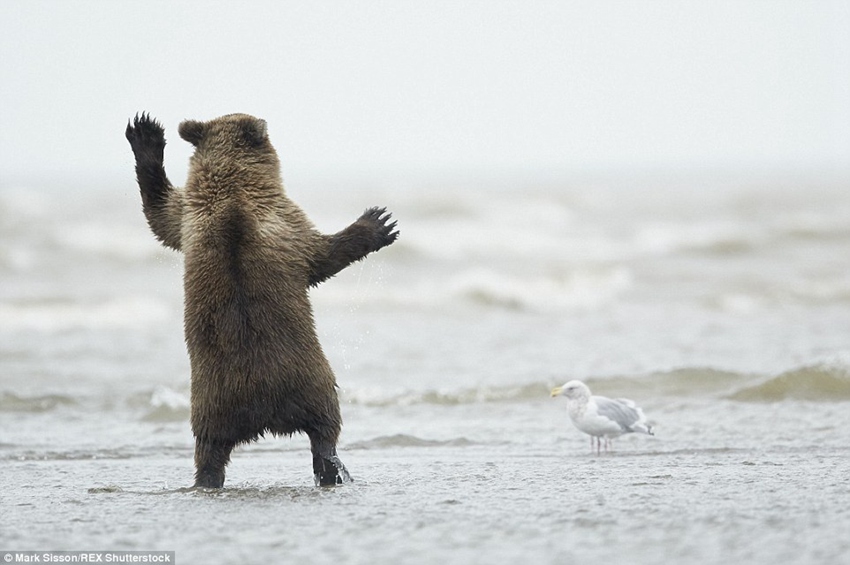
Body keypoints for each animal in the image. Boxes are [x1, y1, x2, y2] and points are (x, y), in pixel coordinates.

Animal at [126, 112, 398, 486]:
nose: (263, 120)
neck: (232, 189)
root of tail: (261, 411)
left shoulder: (189, 219)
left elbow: (161, 213)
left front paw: (145, 133)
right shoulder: (286, 222)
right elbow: (322, 257)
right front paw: (379, 222)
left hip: (211, 403)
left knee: (209, 449)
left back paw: (206, 478)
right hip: (309, 378)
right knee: (325, 426)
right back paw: (333, 468)